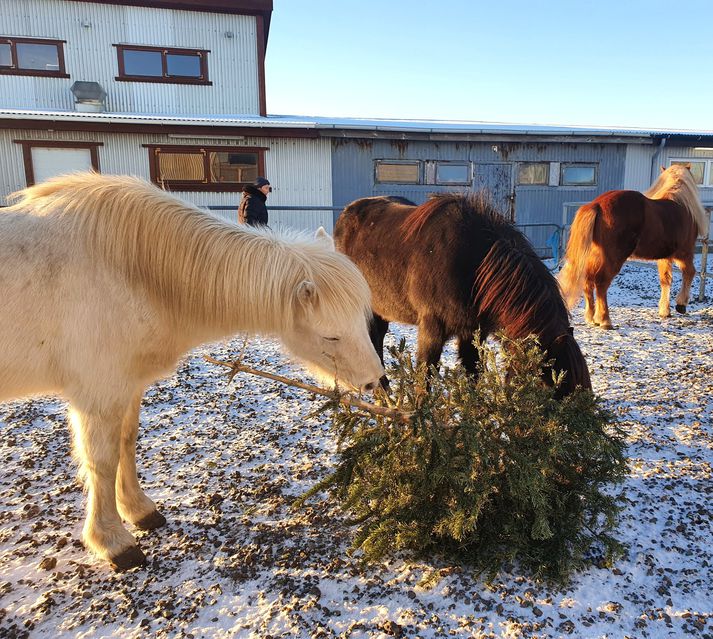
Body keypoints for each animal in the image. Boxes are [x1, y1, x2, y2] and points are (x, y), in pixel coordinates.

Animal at [1, 172, 384, 572]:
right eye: (331, 335)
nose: (374, 380)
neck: (129, 269)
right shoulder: (98, 392)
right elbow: (101, 462)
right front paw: (113, 542)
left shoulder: (128, 385)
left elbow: (126, 443)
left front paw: (139, 511)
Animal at [334, 192, 588, 398]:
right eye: (547, 388)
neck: (473, 265)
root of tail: (348, 212)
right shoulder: (432, 330)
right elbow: (425, 378)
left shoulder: (472, 332)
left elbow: (473, 373)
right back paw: (383, 393)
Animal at [560, 164, 708, 330]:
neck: (681, 205)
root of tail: (597, 204)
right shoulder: (684, 253)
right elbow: (690, 273)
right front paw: (681, 304)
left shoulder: (664, 258)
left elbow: (665, 280)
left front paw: (664, 310)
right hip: (613, 258)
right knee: (601, 283)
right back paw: (604, 320)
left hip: (595, 256)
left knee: (588, 281)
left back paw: (591, 318)